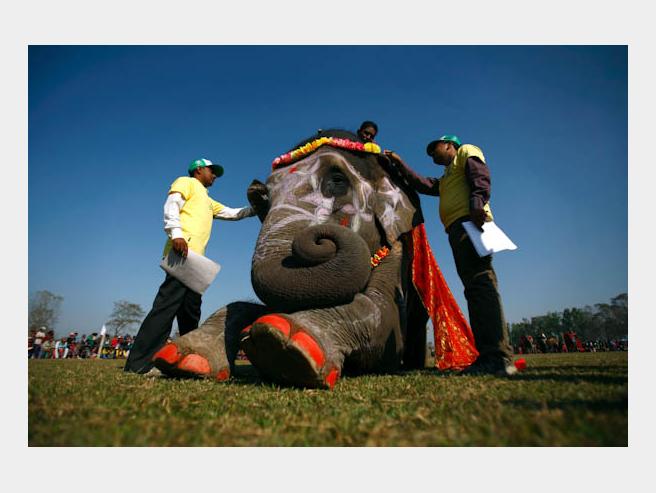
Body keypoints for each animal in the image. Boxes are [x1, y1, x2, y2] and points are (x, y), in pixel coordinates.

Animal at [154, 128, 482, 388]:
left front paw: (286, 346)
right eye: (263, 201)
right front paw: (185, 359)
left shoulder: (399, 246)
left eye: (337, 181)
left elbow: (383, 317)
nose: (320, 236)